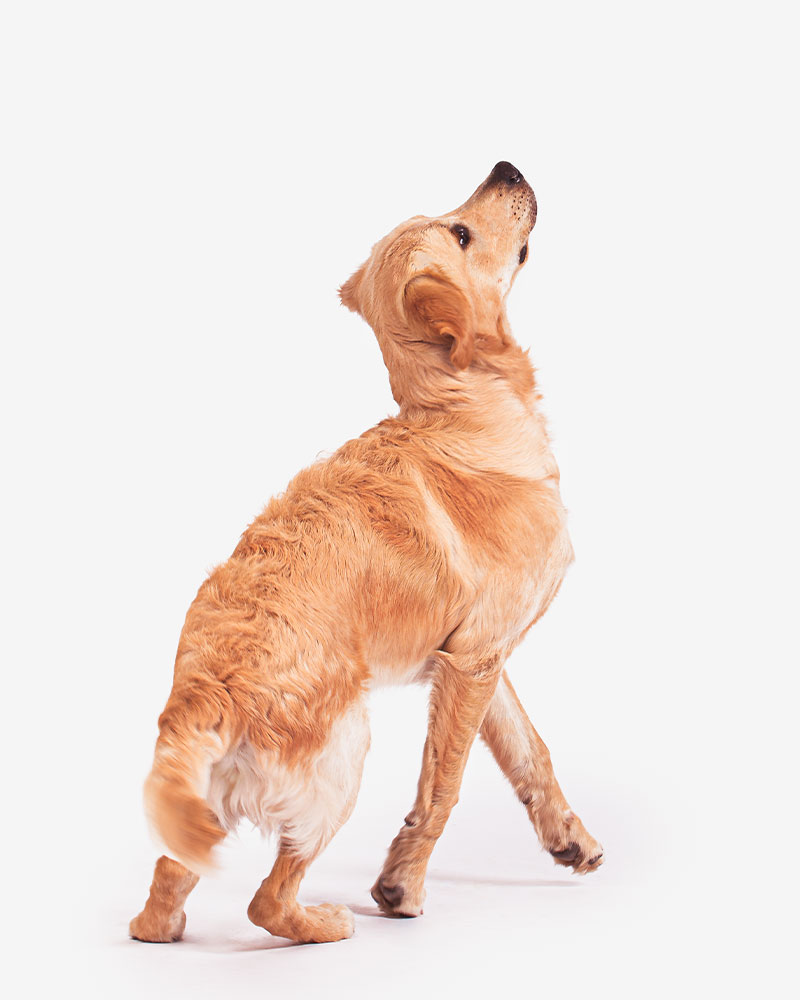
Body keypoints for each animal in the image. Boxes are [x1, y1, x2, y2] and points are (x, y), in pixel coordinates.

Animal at [129, 161, 603, 945]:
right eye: (461, 232)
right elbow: (443, 785)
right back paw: (327, 923)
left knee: (158, 908)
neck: (462, 409)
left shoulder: (478, 659)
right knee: (266, 901)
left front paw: (569, 837)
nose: (505, 167)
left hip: (205, 812)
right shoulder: (474, 660)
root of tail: (205, 688)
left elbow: (529, 751)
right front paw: (401, 886)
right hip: (345, 754)